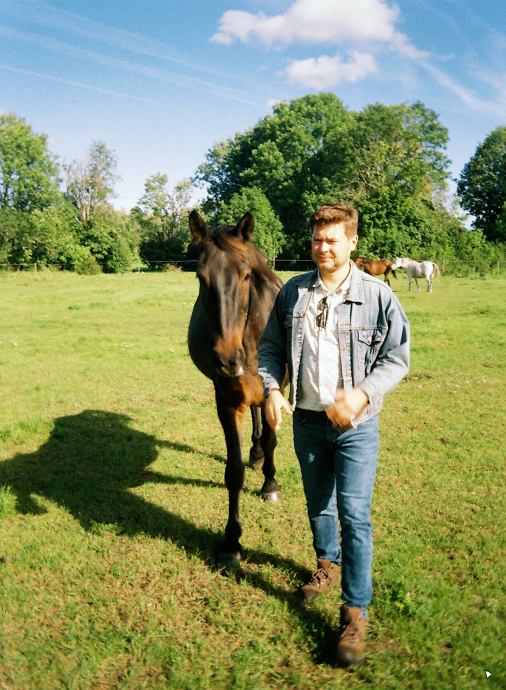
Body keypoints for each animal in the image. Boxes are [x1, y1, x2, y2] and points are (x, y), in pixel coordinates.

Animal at [188, 211, 282, 564]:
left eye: (245, 276)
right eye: (201, 277)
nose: (227, 359)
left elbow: (271, 440)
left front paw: (270, 484)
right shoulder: (226, 401)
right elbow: (233, 472)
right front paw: (231, 542)